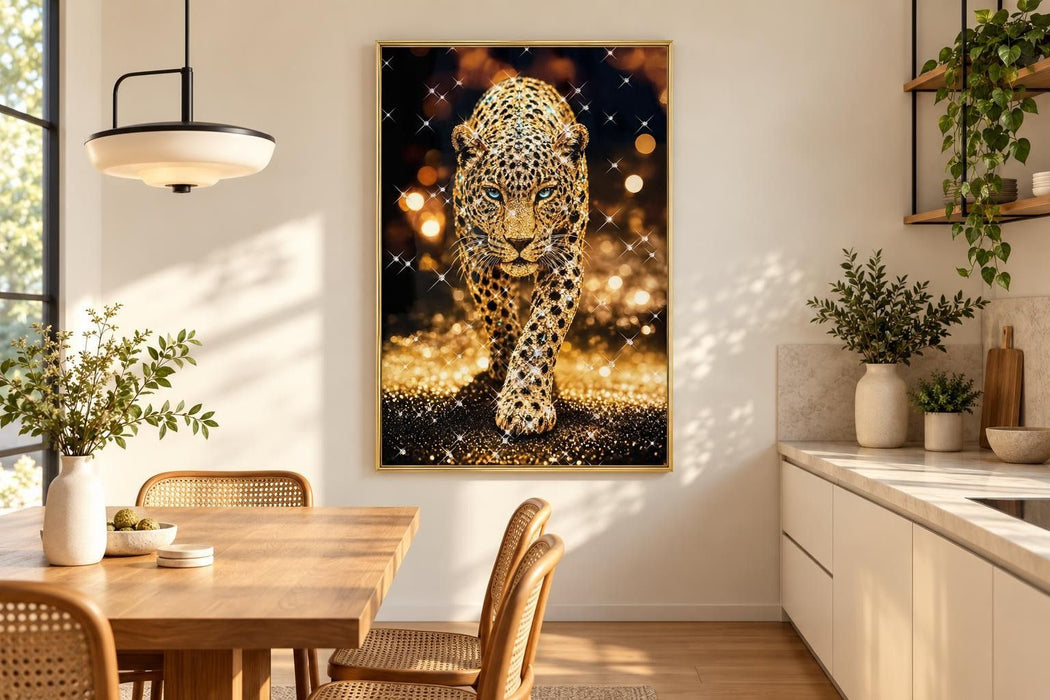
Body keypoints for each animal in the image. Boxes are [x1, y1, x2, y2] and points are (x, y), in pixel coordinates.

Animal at [451, 76, 590, 436]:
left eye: (545, 193)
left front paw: (525, 403)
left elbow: (542, 329)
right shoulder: (476, 253)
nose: (519, 241)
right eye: (492, 193)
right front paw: (504, 367)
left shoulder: (565, 261)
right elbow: (497, 311)